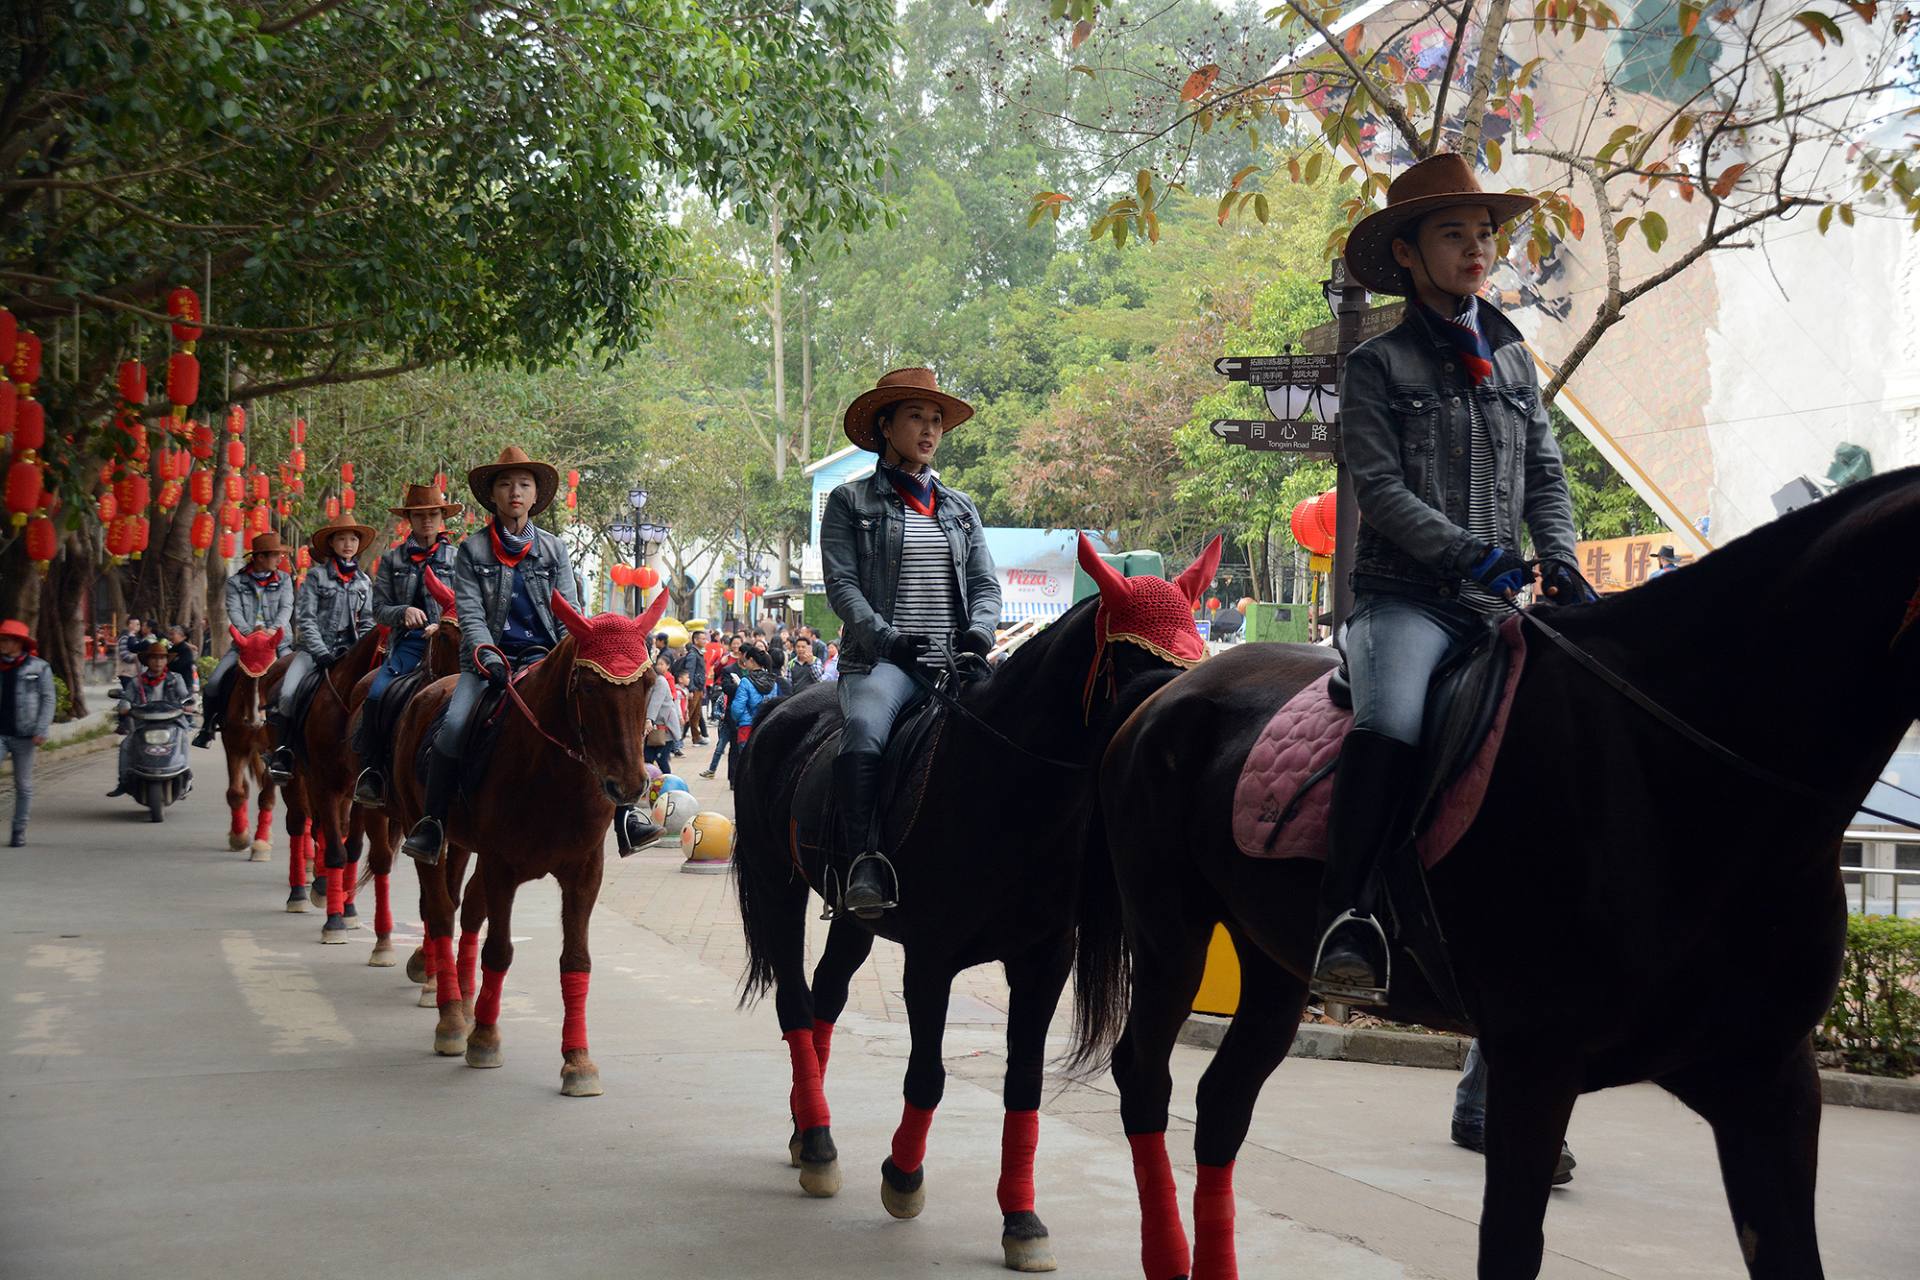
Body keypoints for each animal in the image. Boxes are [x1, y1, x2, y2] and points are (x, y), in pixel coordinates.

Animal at [217, 629, 284, 867]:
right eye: (244, 676)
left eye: (270, 675)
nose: (255, 721)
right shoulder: (234, 746)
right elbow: (236, 792)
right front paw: (240, 837)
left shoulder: (274, 750)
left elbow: (267, 797)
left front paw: (260, 844)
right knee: (244, 786)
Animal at [382, 587, 668, 1097]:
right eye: (588, 686)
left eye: (649, 681)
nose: (630, 786)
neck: (553, 773)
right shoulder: (502, 866)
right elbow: (499, 950)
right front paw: (484, 1038)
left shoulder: (584, 872)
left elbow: (576, 959)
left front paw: (578, 1060)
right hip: (427, 831)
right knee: (440, 912)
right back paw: (451, 1016)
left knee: (467, 909)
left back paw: (465, 996)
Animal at [733, 529, 1213, 1274]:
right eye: (1134, 655)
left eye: (1194, 651)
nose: (1172, 738)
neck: (1007, 788)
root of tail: (782, 709)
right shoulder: (930, 959)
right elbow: (927, 1075)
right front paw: (903, 1177)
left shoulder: (1043, 962)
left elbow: (1024, 1084)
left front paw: (1022, 1219)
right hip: (776, 885)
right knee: (795, 1003)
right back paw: (816, 1142)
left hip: (852, 917)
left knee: (826, 995)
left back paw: (805, 1128)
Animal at [1075, 470, 1920, 1280]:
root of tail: (1169, 692)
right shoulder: (1535, 1058)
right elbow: (1510, 1246)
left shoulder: (1765, 1075)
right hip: (1170, 933)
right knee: (1144, 1077)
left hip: (1274, 956)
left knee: (1223, 1101)